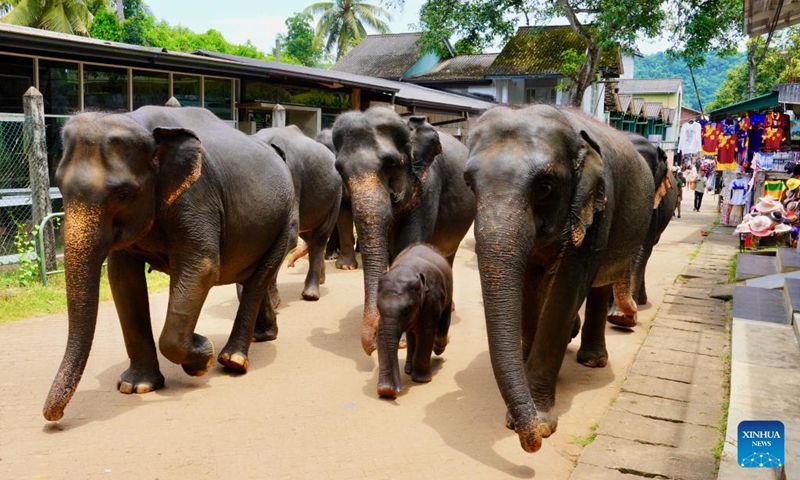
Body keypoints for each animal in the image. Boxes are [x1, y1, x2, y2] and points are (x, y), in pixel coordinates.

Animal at [43, 105, 294, 422]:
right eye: (60, 187)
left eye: (123, 194)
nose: (53, 418)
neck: (140, 124)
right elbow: (122, 279)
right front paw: (136, 386)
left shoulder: (196, 198)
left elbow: (202, 267)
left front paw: (202, 355)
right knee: (251, 277)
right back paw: (263, 336)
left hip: (285, 221)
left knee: (259, 278)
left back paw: (233, 360)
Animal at [254, 125, 342, 301]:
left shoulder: (293, 178)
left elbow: (289, 235)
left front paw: (273, 302)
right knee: (308, 236)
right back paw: (321, 279)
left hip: (336, 194)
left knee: (319, 237)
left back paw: (310, 294)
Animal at [332, 107, 476, 356]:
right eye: (339, 170)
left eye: (390, 164)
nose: (371, 348)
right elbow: (393, 251)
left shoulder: (428, 184)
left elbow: (408, 244)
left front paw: (401, 339)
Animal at [376, 243, 453, 399]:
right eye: (377, 306)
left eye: (406, 310)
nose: (398, 389)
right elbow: (382, 334)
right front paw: (385, 390)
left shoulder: (432, 298)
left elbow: (426, 331)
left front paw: (421, 380)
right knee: (412, 334)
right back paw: (408, 369)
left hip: (448, 291)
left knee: (443, 324)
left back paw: (439, 347)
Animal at [463, 105, 655, 453]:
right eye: (468, 182)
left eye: (544, 186)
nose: (532, 443)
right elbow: (528, 290)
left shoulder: (596, 208)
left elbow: (563, 294)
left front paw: (539, 423)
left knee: (597, 288)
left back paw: (592, 362)